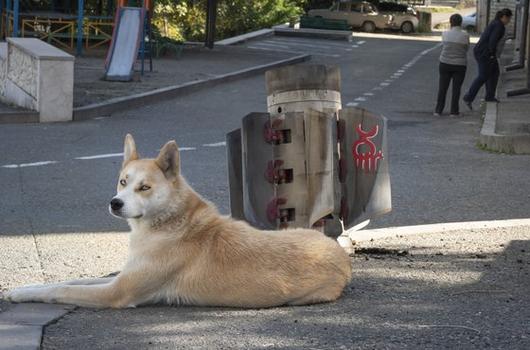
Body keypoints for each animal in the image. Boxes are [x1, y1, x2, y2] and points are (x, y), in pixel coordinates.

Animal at [6, 135, 350, 308]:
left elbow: (61, 289)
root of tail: (341, 254)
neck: (168, 224)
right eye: (122, 181)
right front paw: (22, 288)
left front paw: (22, 295)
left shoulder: (116, 293)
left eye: (144, 187)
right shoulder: (121, 277)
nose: (115, 203)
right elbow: (71, 280)